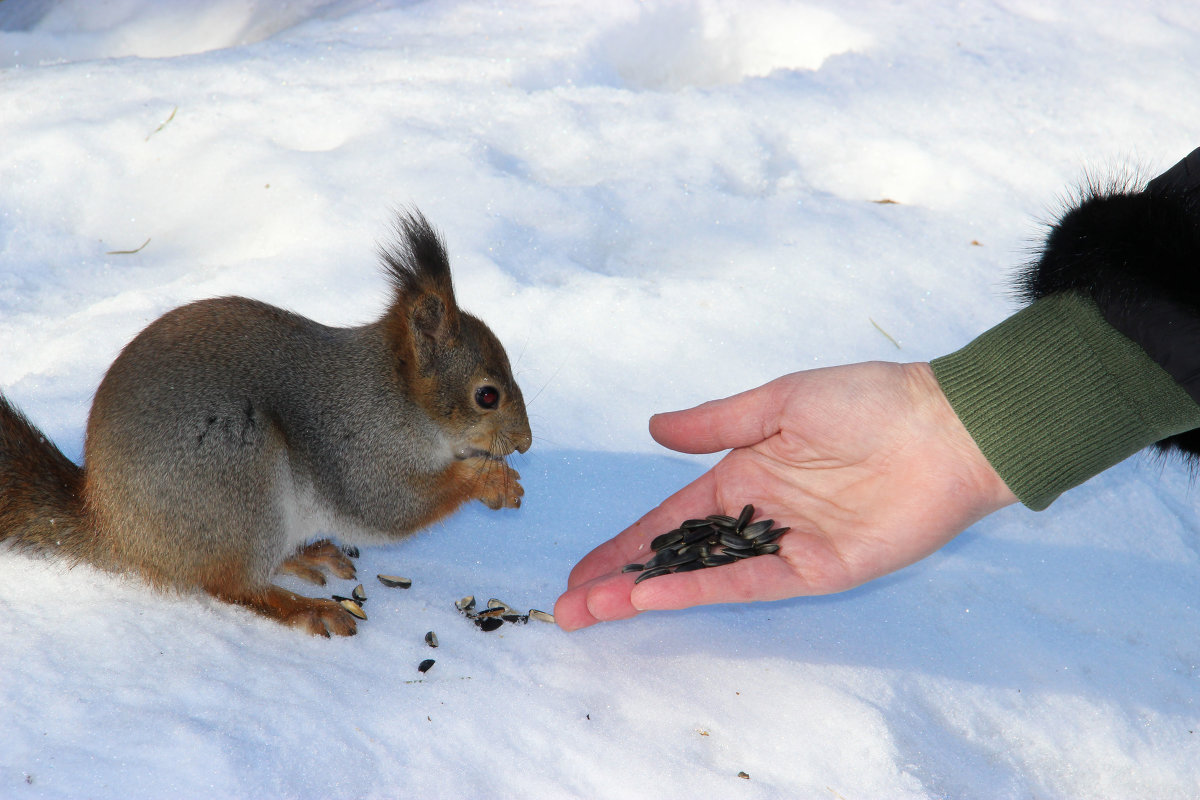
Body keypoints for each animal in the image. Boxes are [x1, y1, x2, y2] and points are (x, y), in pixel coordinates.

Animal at [0, 212, 535, 638]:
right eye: (487, 395)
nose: (526, 443)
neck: (397, 397)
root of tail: (112, 526)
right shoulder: (361, 445)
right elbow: (393, 506)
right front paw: (490, 480)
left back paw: (305, 556)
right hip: (235, 475)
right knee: (234, 587)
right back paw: (308, 609)